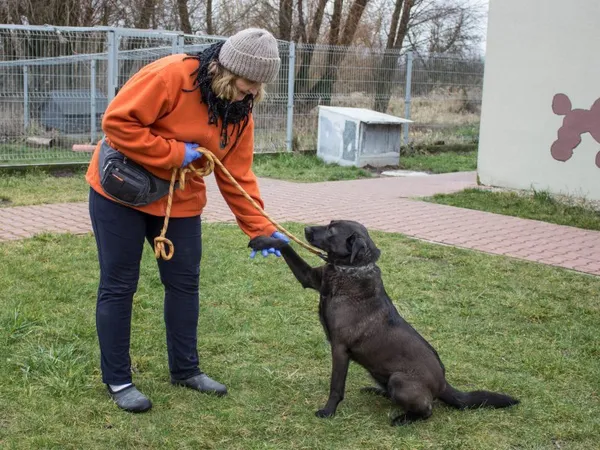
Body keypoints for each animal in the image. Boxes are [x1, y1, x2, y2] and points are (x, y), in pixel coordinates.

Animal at [250, 221, 520, 426]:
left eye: (332, 230)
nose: (306, 228)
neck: (349, 270)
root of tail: (444, 385)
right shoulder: (309, 278)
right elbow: (285, 245)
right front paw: (263, 240)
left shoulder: (339, 348)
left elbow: (336, 386)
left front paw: (328, 411)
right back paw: (378, 392)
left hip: (400, 380)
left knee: (427, 410)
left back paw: (403, 419)